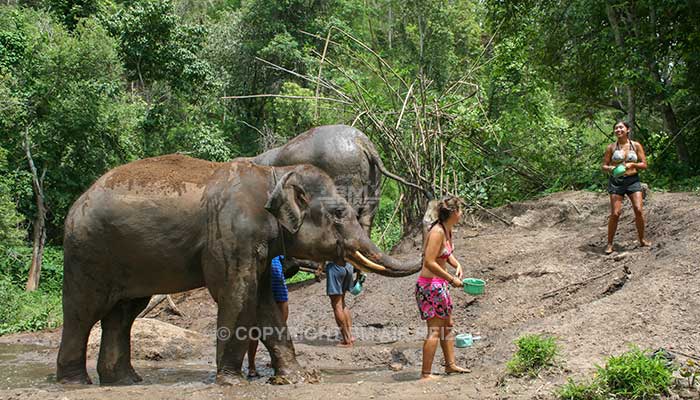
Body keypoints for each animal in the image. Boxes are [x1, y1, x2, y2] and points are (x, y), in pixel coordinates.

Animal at [57, 155, 418, 386]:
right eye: (340, 212)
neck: (274, 174)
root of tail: (77, 203)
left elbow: (265, 303)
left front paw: (296, 379)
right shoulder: (231, 234)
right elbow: (237, 294)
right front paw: (230, 382)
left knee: (123, 314)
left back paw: (124, 381)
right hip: (87, 251)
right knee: (83, 312)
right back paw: (75, 382)